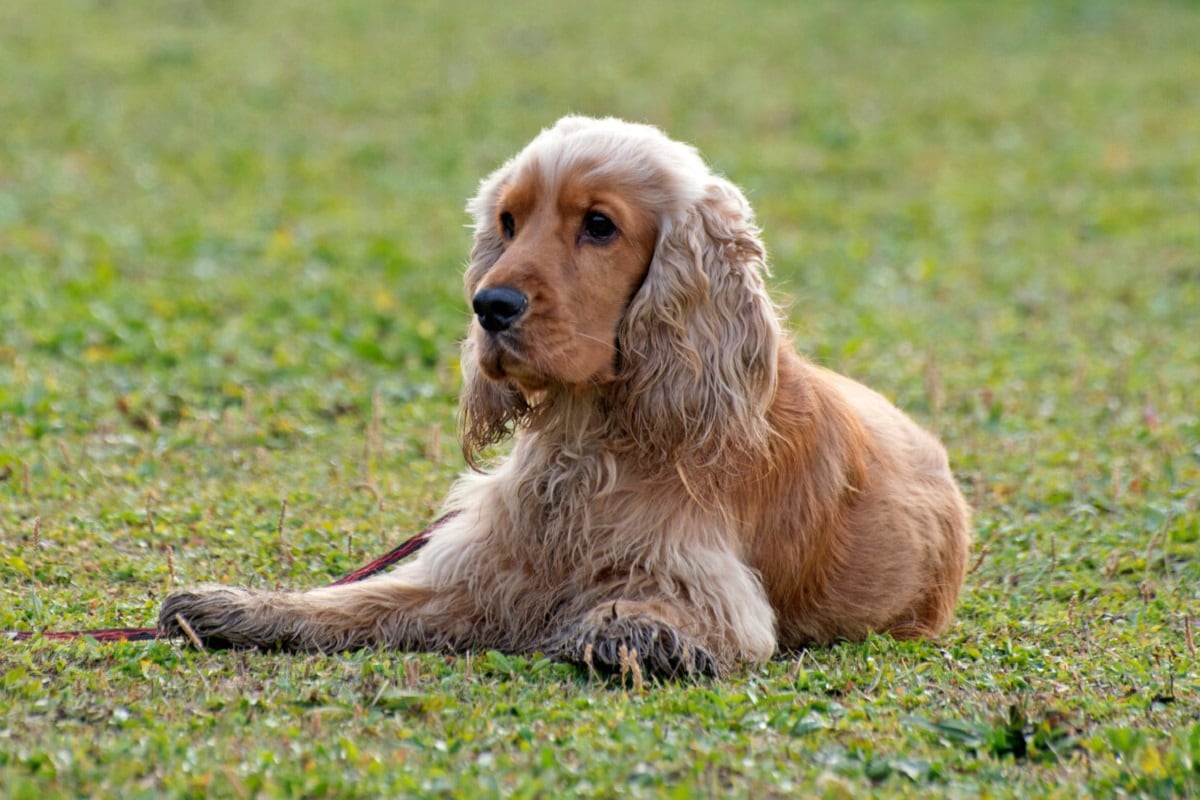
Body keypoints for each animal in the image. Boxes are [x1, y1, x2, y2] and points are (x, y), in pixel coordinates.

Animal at [159, 115, 969, 676]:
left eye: (600, 226)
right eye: (509, 222)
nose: (489, 306)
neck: (595, 436)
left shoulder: (709, 585)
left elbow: (660, 611)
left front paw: (626, 630)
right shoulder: (485, 569)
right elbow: (358, 602)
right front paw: (231, 608)